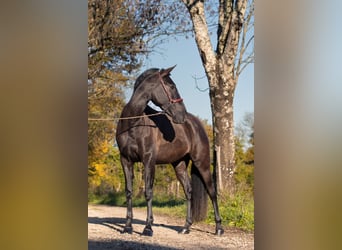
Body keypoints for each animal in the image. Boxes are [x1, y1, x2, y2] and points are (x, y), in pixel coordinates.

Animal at [115, 65, 224, 235]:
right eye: (172, 86)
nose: (181, 114)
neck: (132, 123)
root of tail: (195, 123)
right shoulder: (125, 160)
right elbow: (128, 192)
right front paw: (127, 226)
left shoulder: (148, 160)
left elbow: (148, 192)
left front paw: (148, 227)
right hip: (179, 164)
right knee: (188, 191)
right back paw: (186, 227)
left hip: (202, 163)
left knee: (212, 191)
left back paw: (218, 228)